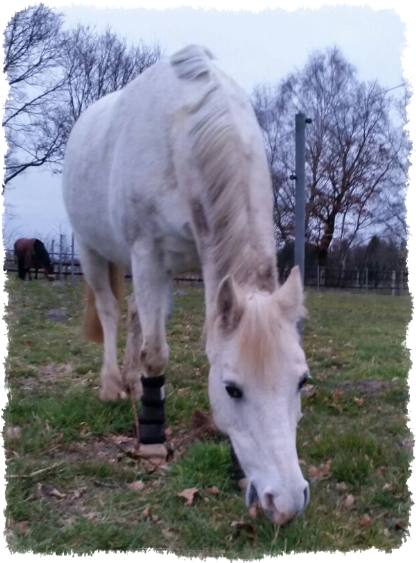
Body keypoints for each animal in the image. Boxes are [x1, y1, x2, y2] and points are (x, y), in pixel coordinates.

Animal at [62, 45, 310, 525]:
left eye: (302, 382)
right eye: (232, 389)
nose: (286, 502)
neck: (181, 131)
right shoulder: (146, 253)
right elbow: (156, 352)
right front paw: (152, 437)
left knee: (137, 312)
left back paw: (132, 380)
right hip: (92, 248)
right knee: (110, 311)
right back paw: (112, 385)